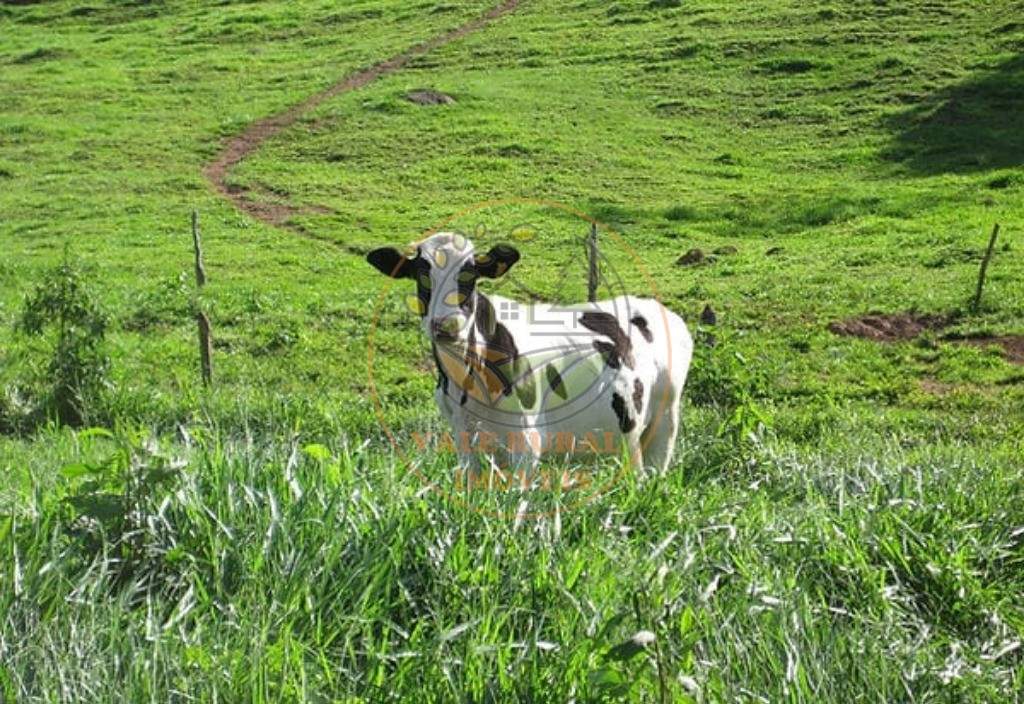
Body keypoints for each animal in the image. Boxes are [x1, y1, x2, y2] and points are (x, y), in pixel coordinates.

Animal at [364, 232, 692, 472]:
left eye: (470, 276)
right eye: (421, 275)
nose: (447, 325)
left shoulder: (527, 441)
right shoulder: (464, 438)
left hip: (664, 421)